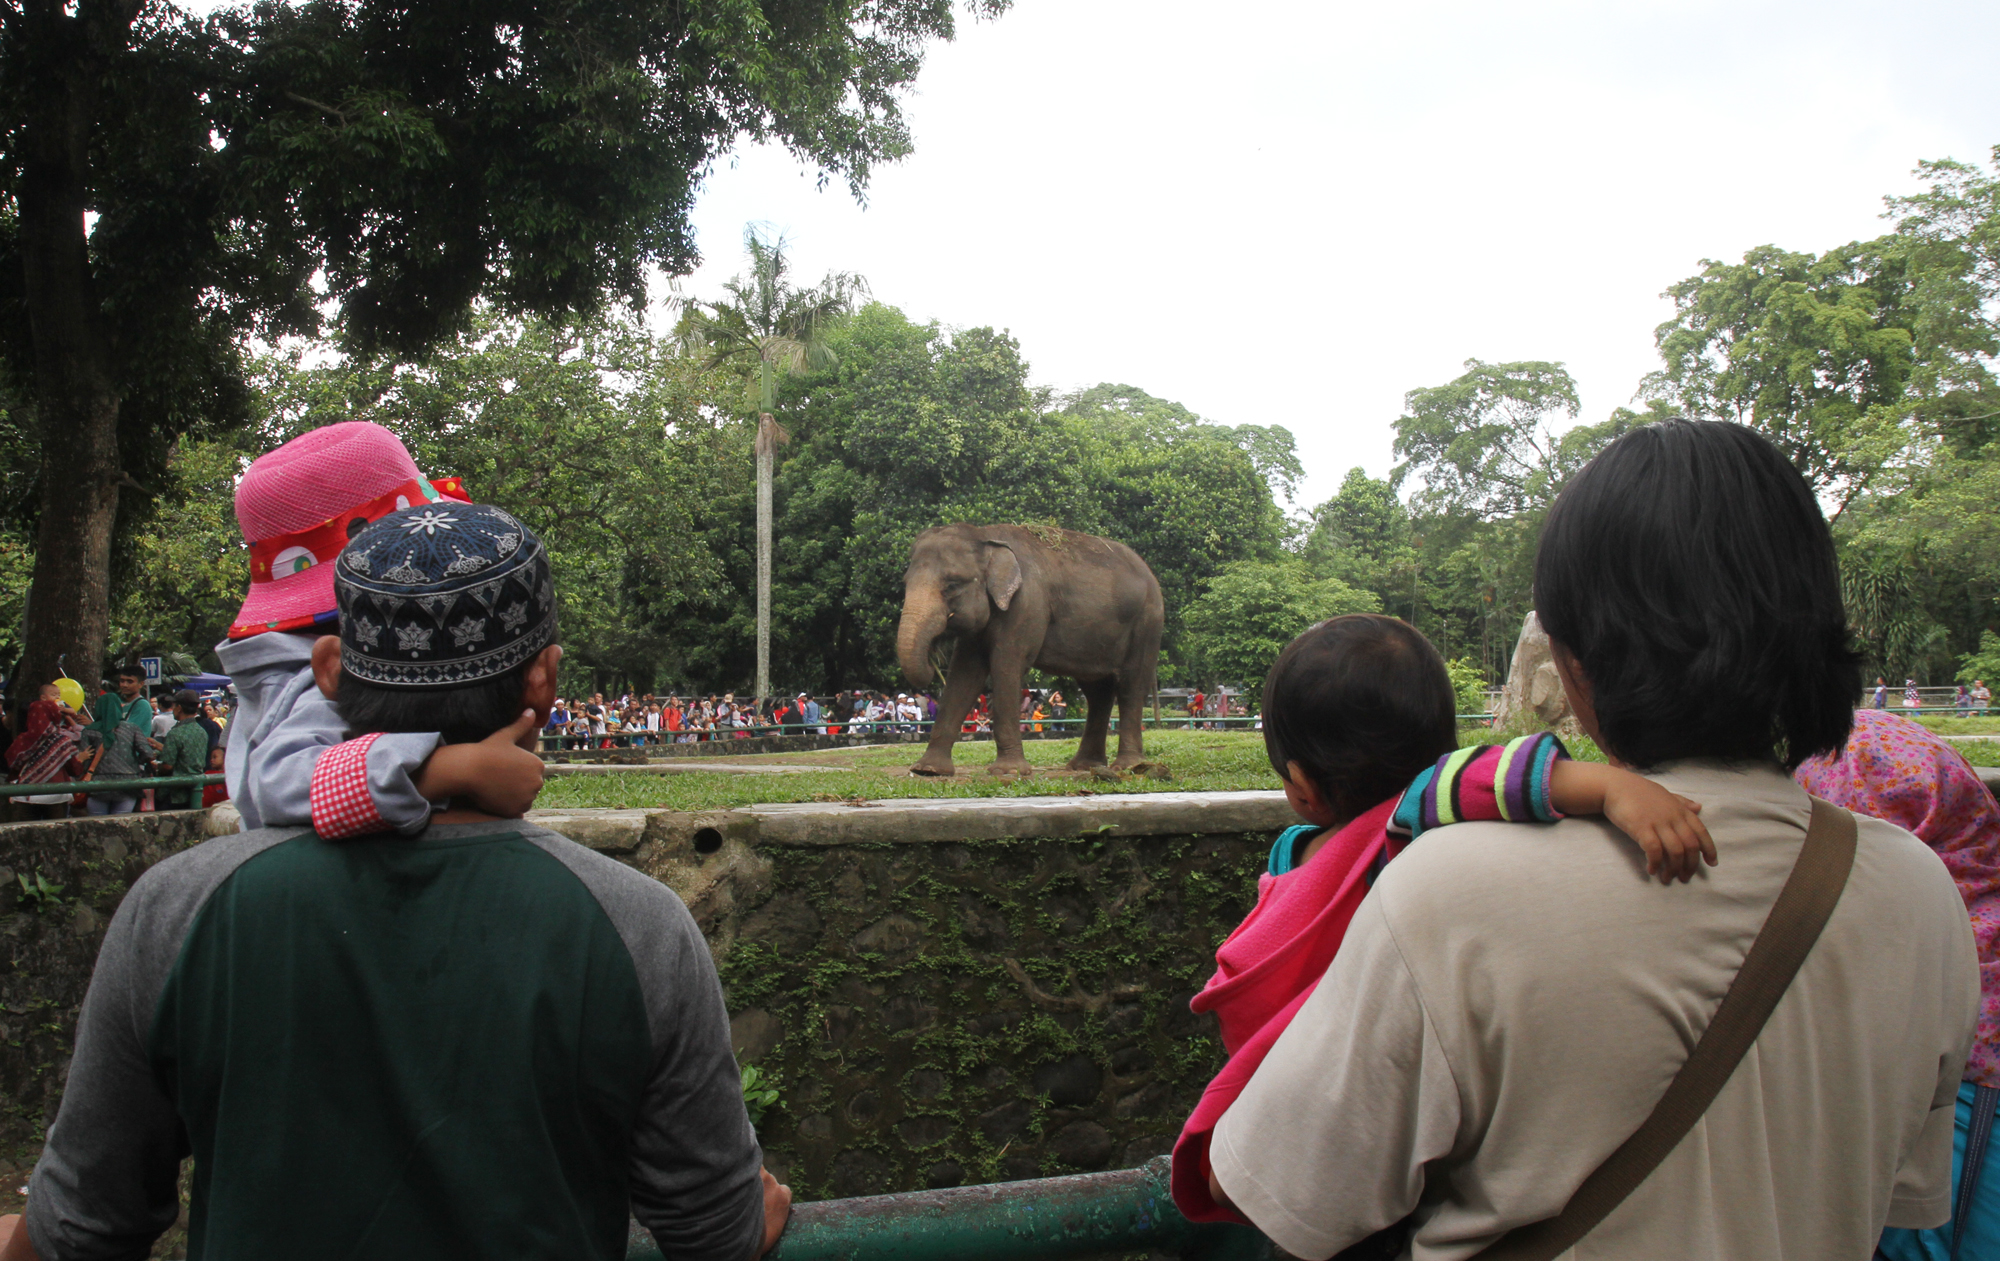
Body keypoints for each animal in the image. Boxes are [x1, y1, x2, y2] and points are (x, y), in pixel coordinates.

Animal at [896, 520, 1168, 776]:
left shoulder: (1027, 603)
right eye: (906, 583)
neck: (986, 536)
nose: (933, 657)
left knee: (1131, 685)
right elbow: (964, 674)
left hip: (1147, 624)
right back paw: (1084, 765)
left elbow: (1007, 665)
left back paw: (1130, 766)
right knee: (1097, 692)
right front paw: (928, 770)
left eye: (952, 585)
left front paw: (1008, 771)